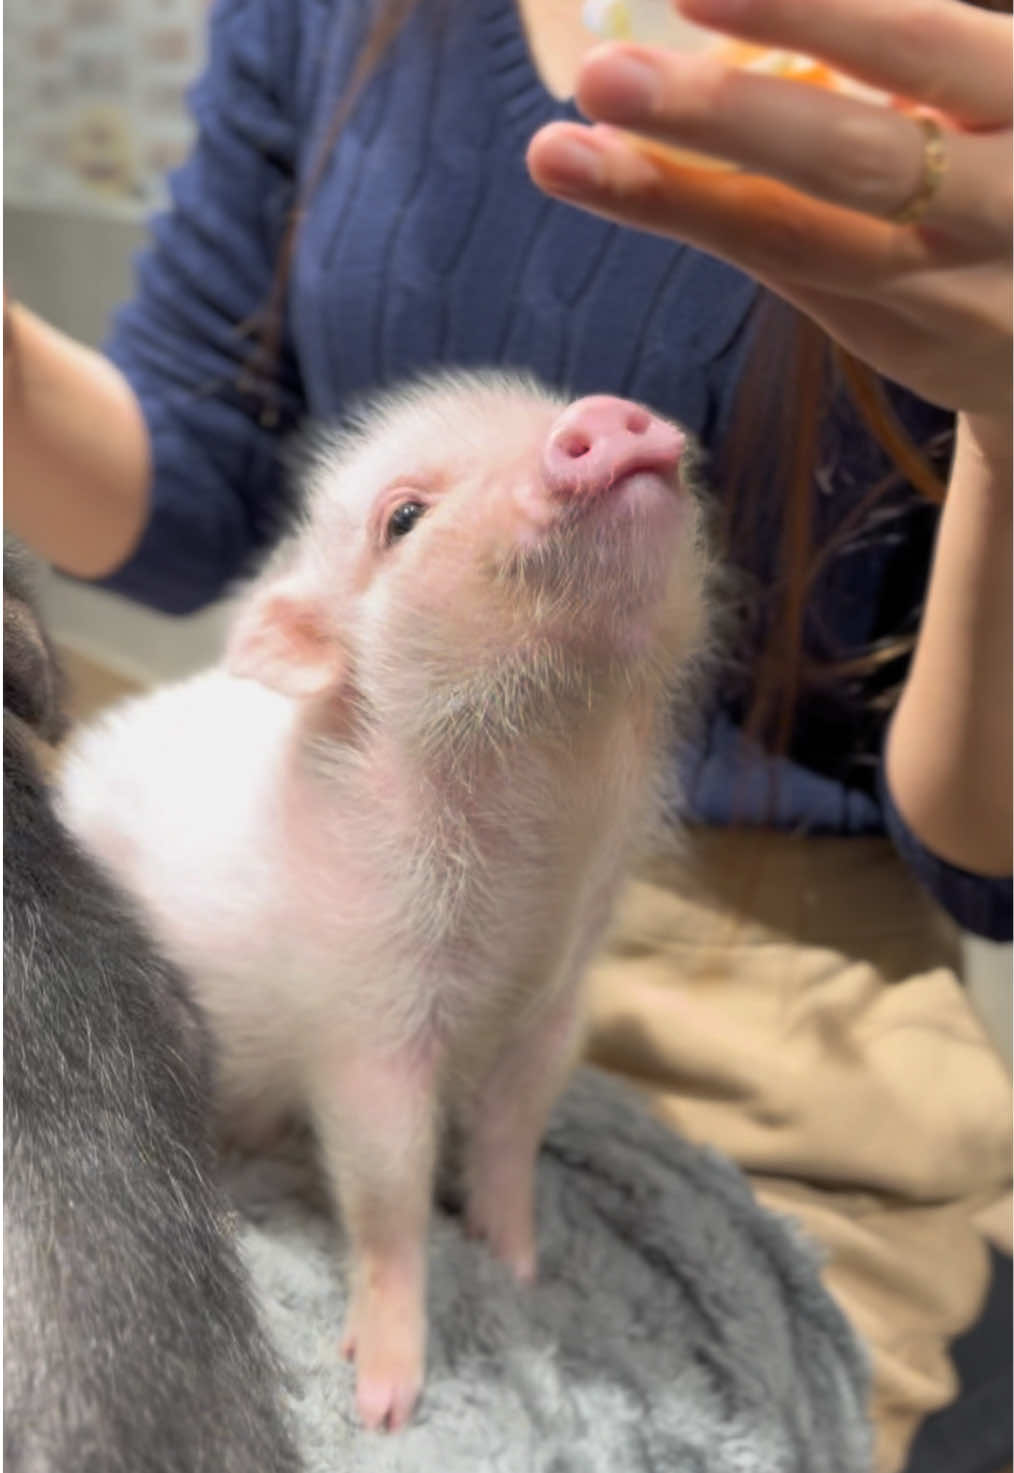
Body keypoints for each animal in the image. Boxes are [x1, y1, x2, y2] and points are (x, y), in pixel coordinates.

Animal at [57, 370, 711, 1433]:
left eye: (541, 411)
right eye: (403, 517)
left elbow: (515, 1126)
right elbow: (388, 1185)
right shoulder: (367, 1017)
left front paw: (517, 1262)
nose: (600, 415)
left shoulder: (560, 996)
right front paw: (386, 1403)